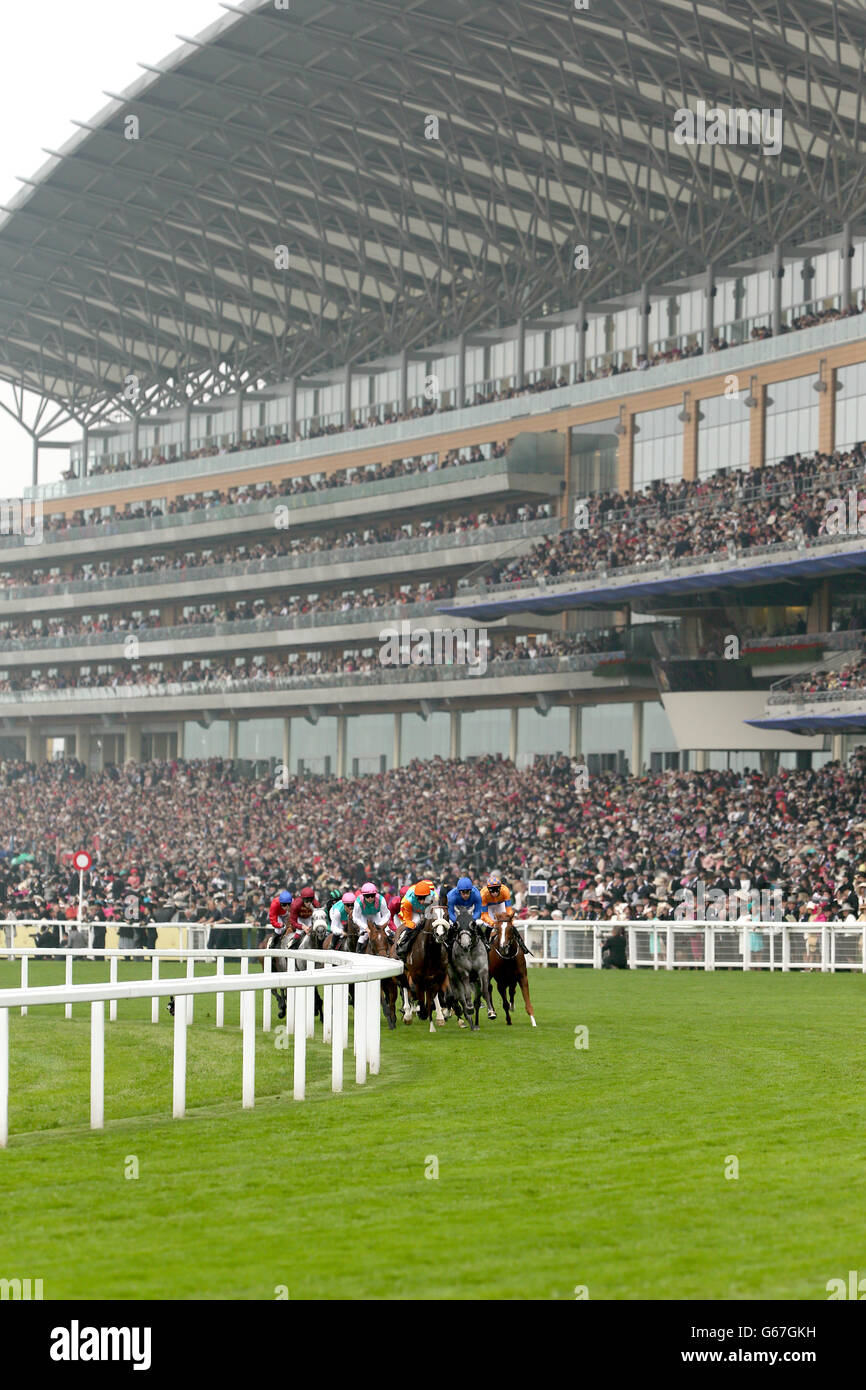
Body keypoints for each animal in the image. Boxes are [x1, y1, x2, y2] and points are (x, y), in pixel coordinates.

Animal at [447, 900, 494, 1034]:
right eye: (456, 925)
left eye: (472, 923)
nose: (465, 945)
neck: (470, 952)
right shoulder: (463, 972)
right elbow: (467, 994)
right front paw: (469, 1008)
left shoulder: (482, 971)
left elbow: (485, 992)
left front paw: (491, 1012)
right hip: (454, 979)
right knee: (461, 999)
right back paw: (469, 1020)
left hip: (476, 981)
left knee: (477, 1000)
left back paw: (476, 1024)